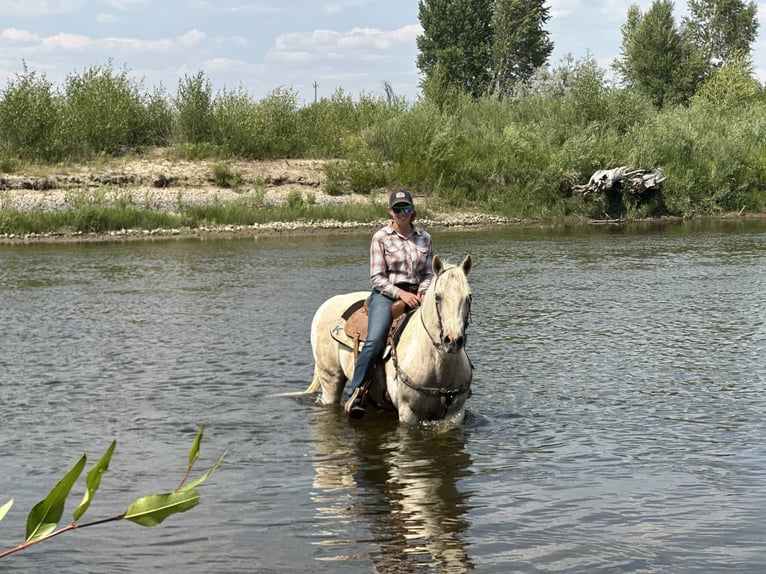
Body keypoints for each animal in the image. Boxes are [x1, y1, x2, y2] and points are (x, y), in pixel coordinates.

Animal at [305, 254, 473, 425]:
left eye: (469, 297)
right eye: (438, 296)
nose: (453, 340)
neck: (438, 364)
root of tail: (327, 305)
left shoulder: (455, 414)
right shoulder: (408, 412)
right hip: (330, 378)